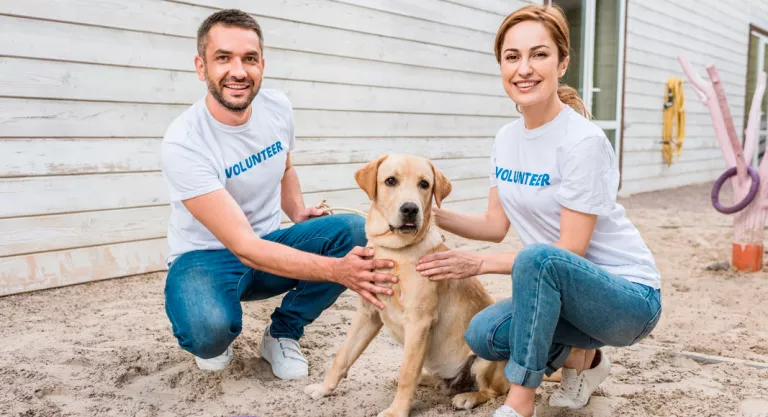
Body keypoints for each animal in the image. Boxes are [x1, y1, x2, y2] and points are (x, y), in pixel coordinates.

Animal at [304, 154, 510, 416]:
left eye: (424, 184)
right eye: (390, 180)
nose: (410, 209)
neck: (394, 252)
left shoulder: (418, 323)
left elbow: (407, 373)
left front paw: (396, 411)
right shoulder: (367, 314)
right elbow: (343, 356)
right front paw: (324, 388)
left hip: (483, 361)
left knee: (494, 391)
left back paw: (468, 397)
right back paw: (432, 380)